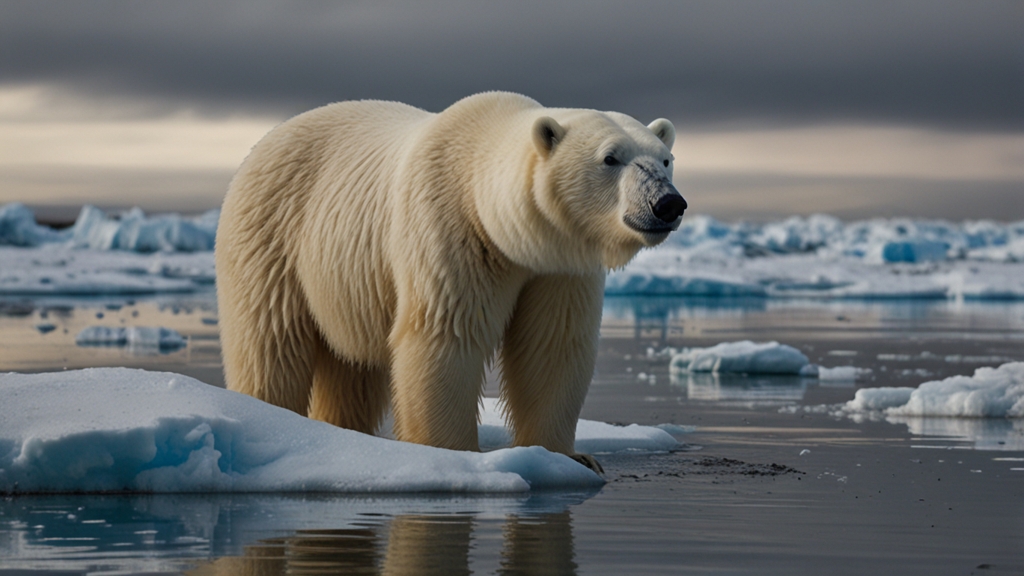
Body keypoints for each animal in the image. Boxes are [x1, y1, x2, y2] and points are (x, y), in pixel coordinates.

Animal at [215, 89, 684, 467]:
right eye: (610, 158)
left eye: (666, 159)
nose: (668, 203)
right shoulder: (450, 231)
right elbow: (446, 338)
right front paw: (456, 453)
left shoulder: (559, 268)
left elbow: (551, 347)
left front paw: (571, 457)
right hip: (273, 236)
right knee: (270, 342)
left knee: (351, 369)